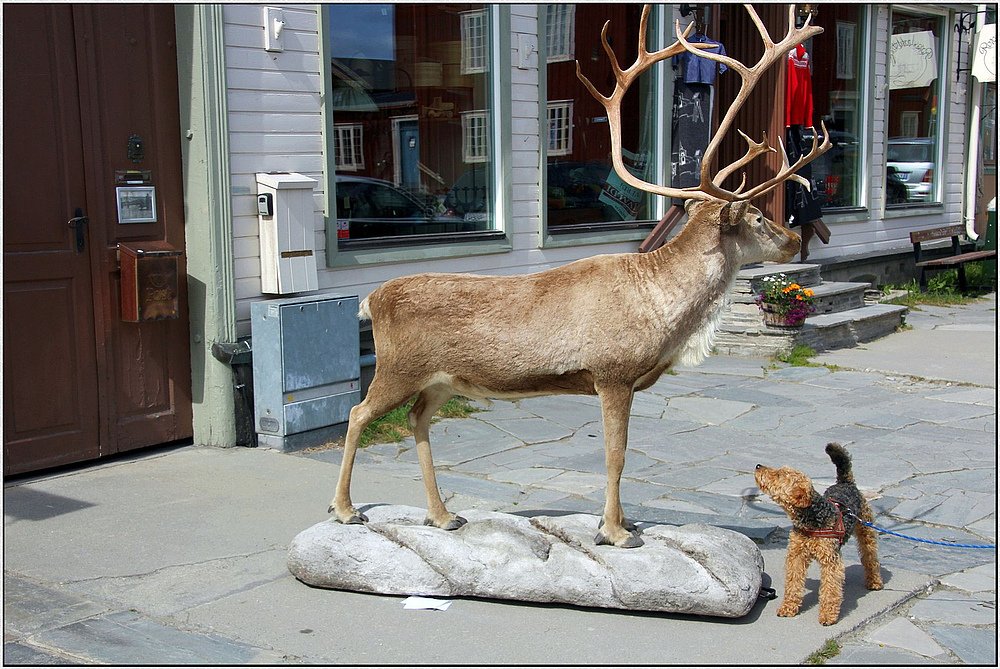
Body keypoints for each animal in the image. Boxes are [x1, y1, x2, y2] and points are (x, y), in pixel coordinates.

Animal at [752, 440, 888, 624]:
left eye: (780, 475)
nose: (758, 465)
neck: (812, 519)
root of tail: (846, 483)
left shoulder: (831, 561)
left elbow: (830, 589)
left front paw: (828, 615)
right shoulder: (796, 555)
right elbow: (793, 582)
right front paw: (788, 607)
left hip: (866, 531)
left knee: (870, 558)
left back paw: (874, 582)